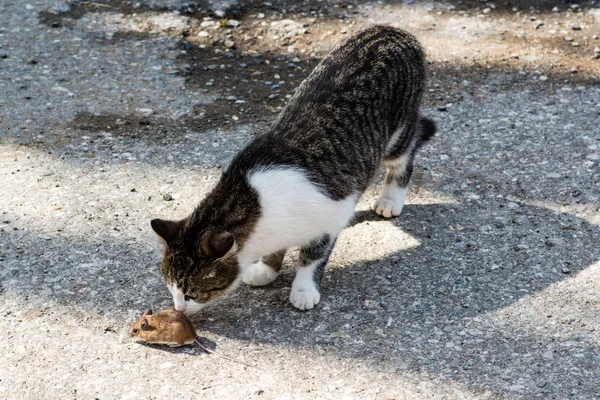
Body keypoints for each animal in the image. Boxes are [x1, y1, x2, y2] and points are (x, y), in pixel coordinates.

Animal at [150, 25, 436, 314]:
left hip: (397, 133)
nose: (178, 309)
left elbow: (312, 257)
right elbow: (275, 249)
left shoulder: (330, 213)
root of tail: (393, 31)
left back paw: (391, 199)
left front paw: (303, 289)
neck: (254, 198)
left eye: (192, 292)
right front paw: (267, 269)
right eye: (169, 286)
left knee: (405, 155)